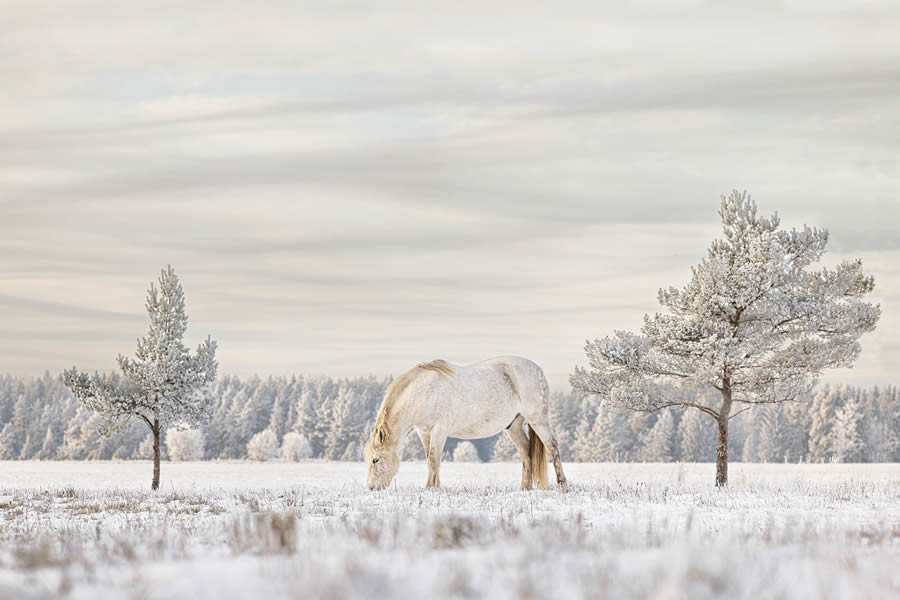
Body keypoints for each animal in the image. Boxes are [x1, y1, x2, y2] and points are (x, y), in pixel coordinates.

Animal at [362, 354, 568, 490]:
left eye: (375, 459)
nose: (371, 487)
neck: (423, 392)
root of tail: (538, 369)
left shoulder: (439, 430)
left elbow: (433, 459)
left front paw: (430, 488)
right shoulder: (424, 431)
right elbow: (431, 459)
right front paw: (434, 487)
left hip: (538, 419)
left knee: (552, 447)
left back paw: (562, 484)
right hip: (513, 426)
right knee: (526, 453)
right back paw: (525, 488)